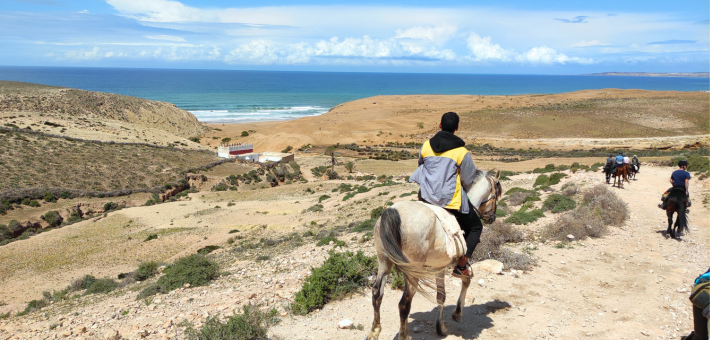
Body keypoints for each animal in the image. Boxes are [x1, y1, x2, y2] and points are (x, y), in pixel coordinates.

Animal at [370, 170, 504, 340]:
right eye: (497, 194)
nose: (492, 217)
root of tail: (393, 211)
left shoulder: (438, 267)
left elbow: (441, 295)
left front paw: (441, 327)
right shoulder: (452, 264)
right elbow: (464, 281)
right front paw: (455, 315)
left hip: (384, 262)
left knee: (377, 294)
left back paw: (374, 331)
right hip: (412, 270)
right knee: (404, 303)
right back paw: (403, 335)